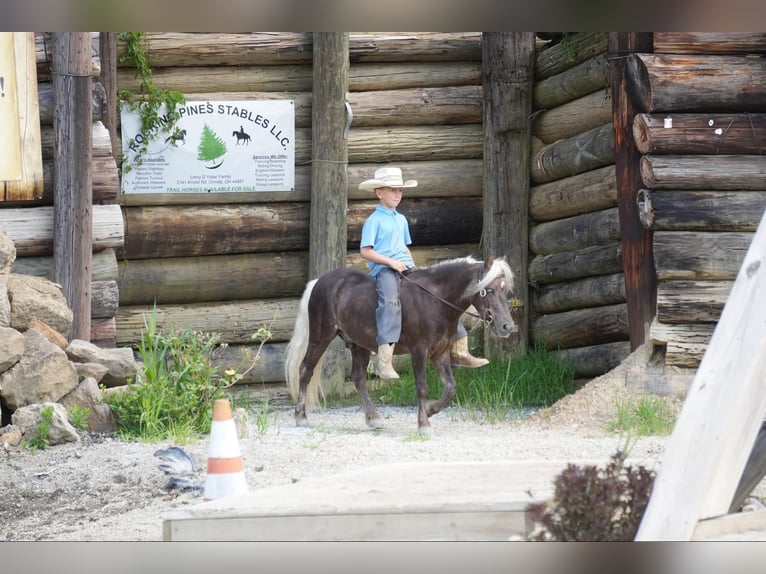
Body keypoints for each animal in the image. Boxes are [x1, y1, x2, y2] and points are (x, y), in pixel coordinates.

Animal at [284, 256, 516, 436]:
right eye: (489, 290)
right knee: (305, 370)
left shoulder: (440, 352)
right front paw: (424, 425)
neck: (434, 300)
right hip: (321, 337)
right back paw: (301, 417)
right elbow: (422, 387)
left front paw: (429, 410)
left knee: (359, 378)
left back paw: (374, 419)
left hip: (359, 344)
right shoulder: (419, 350)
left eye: (505, 291)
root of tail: (319, 281)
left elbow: (450, 387)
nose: (507, 327)